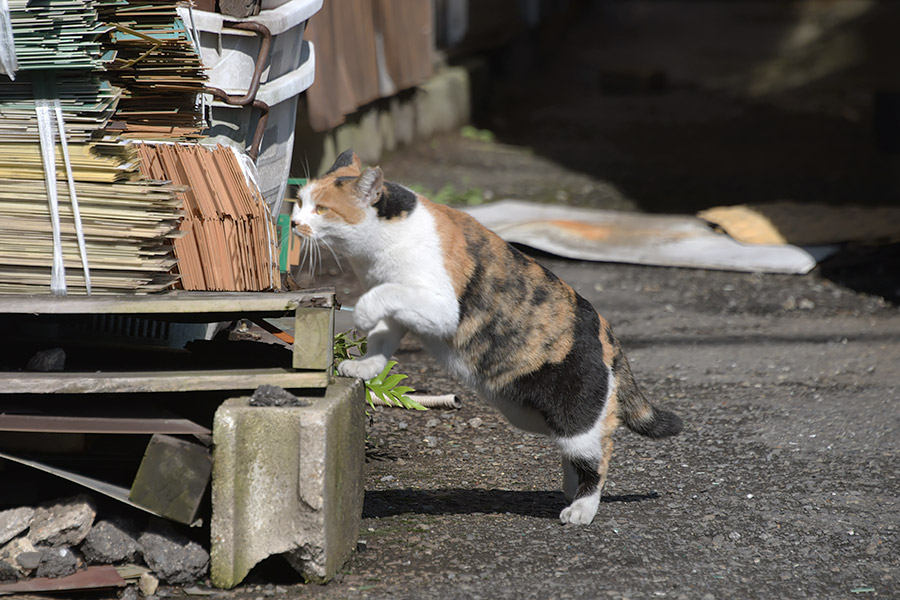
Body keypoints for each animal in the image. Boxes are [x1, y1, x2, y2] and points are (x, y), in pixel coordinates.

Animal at [294, 150, 684, 524]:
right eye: (298, 201)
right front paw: (363, 368)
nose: (296, 222)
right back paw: (570, 490)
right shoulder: (402, 313)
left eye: (321, 208)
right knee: (574, 447)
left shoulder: (438, 305)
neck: (377, 248)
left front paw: (360, 312)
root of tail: (607, 331)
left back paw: (582, 508)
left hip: (575, 411)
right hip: (529, 413)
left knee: (599, 450)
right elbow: (381, 340)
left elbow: (382, 296)